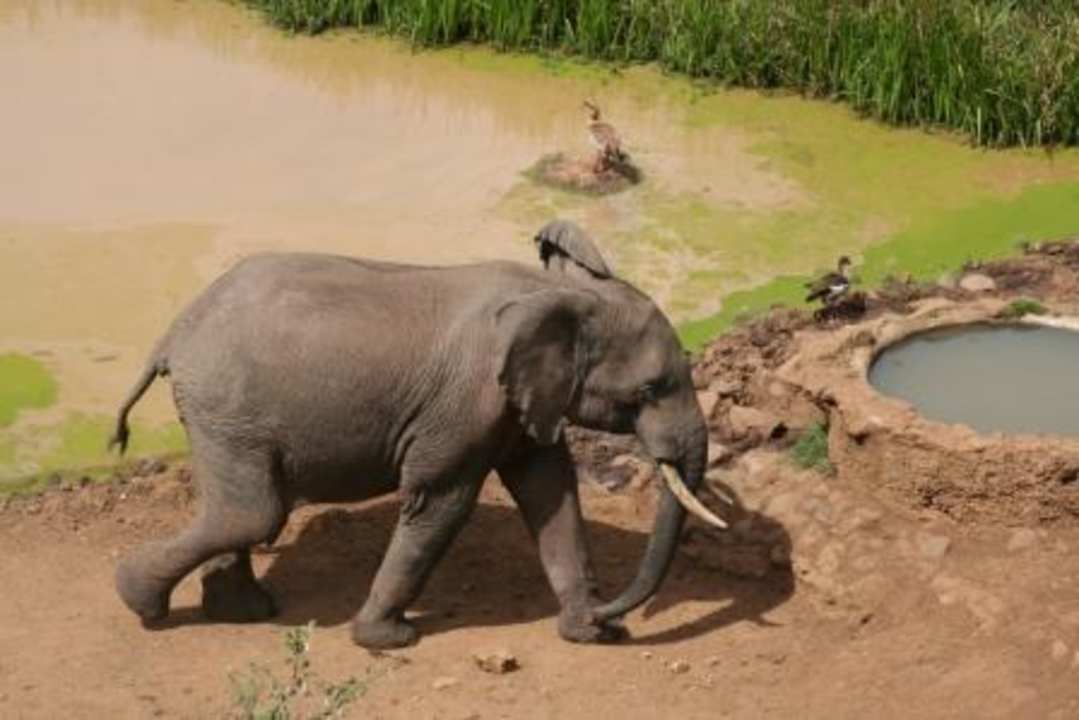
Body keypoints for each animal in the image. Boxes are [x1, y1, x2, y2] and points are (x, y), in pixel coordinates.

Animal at [109, 219, 727, 649]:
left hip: (224, 415)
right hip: (227, 407)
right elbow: (441, 503)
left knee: (242, 510)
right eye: (650, 390)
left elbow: (552, 494)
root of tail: (172, 333)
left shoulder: (522, 405)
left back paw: (244, 611)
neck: (559, 294)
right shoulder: (464, 406)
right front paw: (388, 639)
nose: (613, 615)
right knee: (254, 514)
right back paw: (142, 603)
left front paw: (589, 634)